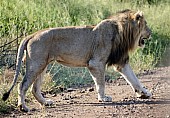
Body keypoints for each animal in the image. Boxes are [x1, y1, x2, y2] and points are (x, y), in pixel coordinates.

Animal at [2, 9, 151, 111]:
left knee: (34, 88)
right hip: (36, 64)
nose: (151, 33)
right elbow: (101, 83)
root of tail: (32, 35)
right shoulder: (96, 63)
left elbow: (134, 79)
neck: (123, 32)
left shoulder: (121, 62)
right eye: (146, 25)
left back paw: (46, 103)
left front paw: (144, 93)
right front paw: (103, 98)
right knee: (22, 85)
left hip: (42, 64)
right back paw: (23, 107)